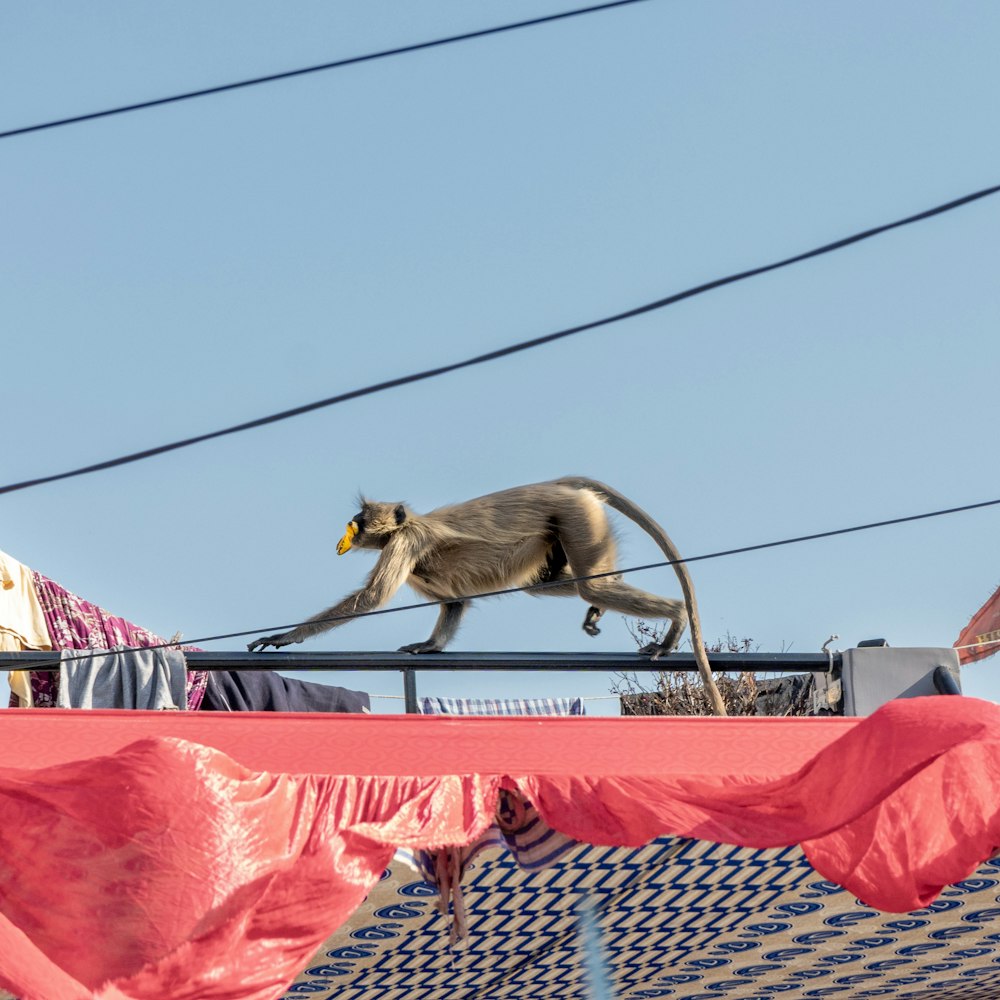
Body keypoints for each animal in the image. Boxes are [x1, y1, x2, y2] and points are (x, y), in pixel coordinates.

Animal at [245, 480, 724, 716]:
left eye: (362, 518)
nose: (351, 524)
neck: (409, 523)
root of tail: (569, 489)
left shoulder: (407, 542)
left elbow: (373, 597)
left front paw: (284, 638)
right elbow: (454, 603)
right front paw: (429, 646)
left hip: (577, 515)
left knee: (590, 582)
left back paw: (676, 617)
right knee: (559, 581)